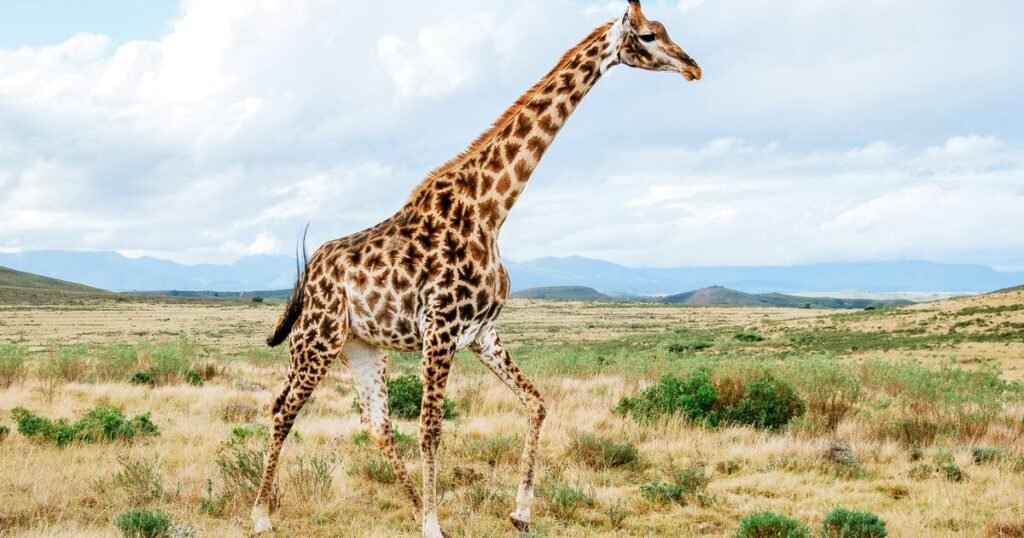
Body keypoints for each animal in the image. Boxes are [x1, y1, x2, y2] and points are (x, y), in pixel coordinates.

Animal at [251, 2, 700, 536]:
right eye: (649, 35)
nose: (693, 67)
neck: (491, 210)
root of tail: (310, 271)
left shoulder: (482, 332)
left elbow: (536, 401)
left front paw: (520, 510)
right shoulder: (440, 330)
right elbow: (431, 429)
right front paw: (433, 525)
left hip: (361, 346)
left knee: (376, 424)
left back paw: (406, 505)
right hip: (316, 341)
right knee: (282, 409)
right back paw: (261, 515)